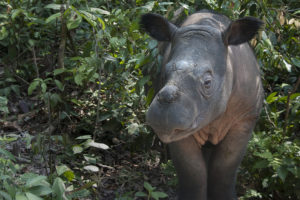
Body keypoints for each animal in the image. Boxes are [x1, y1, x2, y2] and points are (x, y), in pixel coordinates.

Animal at [139, 9, 264, 200]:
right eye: (164, 75)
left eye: (207, 83)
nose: (163, 116)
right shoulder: (181, 127)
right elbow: (193, 172)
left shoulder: (246, 117)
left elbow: (224, 168)